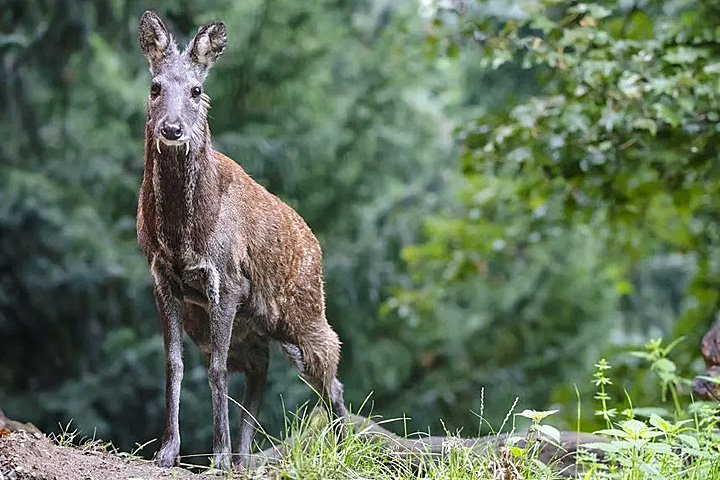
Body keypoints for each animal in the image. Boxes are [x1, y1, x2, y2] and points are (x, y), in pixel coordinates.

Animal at [136, 11, 348, 471]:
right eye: (155, 86)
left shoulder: (228, 280)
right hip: (246, 326)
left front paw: (214, 455)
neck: (183, 236)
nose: (172, 129)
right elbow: (174, 365)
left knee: (330, 374)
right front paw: (168, 452)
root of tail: (315, 244)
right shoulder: (163, 279)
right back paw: (242, 457)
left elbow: (215, 371)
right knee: (259, 371)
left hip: (305, 312)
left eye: (197, 90)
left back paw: (341, 451)